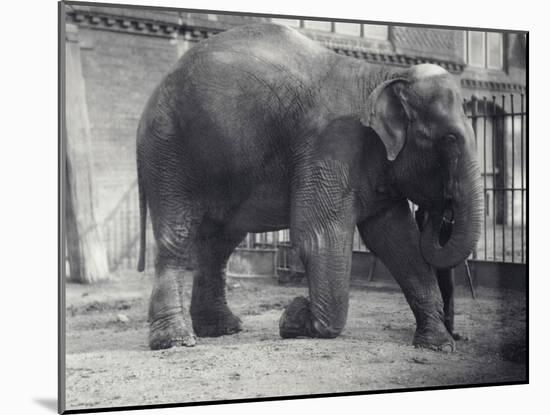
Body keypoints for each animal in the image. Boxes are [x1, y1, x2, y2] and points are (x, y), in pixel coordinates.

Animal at [137, 22, 484, 352]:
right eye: (449, 139)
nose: (441, 208)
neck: (381, 76)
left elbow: (399, 242)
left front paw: (439, 345)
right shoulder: (329, 143)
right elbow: (318, 237)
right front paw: (293, 315)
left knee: (219, 243)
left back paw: (221, 329)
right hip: (169, 152)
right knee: (177, 236)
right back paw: (176, 341)